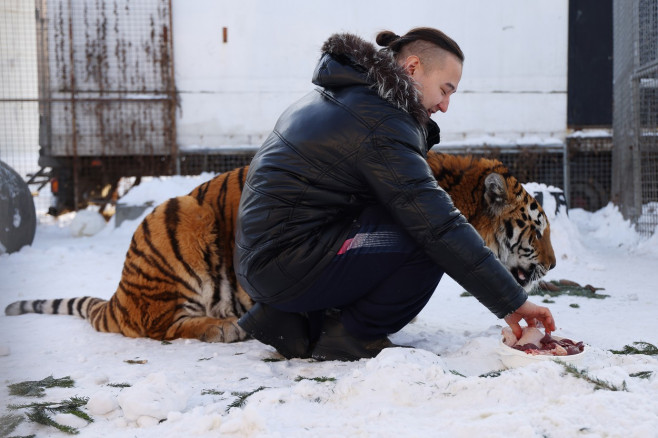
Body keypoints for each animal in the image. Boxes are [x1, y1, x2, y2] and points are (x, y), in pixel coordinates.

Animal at [5, 152, 552, 344]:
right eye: (536, 228)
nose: (551, 264)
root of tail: (120, 295)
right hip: (176, 222)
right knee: (160, 327)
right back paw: (226, 327)